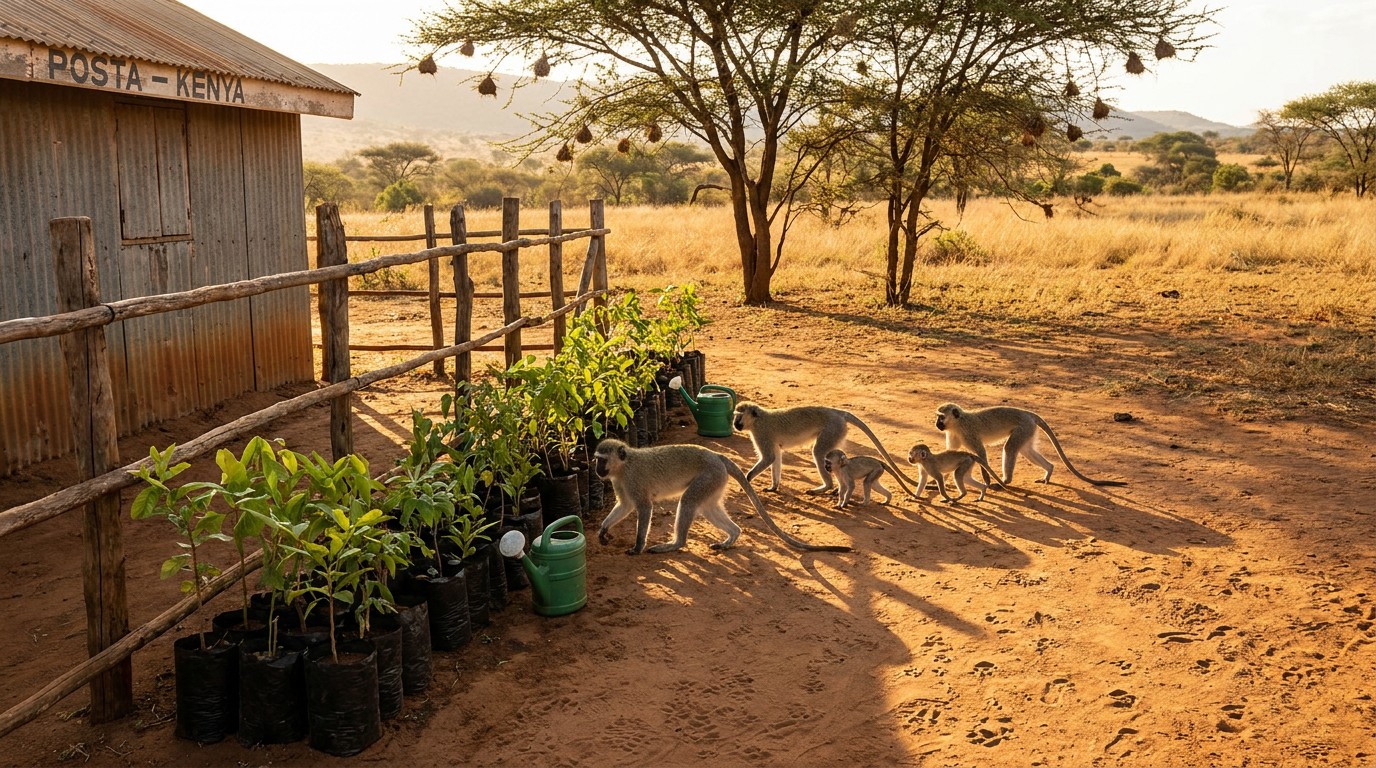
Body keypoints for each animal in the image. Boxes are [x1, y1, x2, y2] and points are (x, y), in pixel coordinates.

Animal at [592, 438, 851, 555]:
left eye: (601, 459)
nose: (596, 469)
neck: (624, 466)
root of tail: (716, 456)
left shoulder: (633, 480)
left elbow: (643, 507)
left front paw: (637, 547)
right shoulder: (619, 482)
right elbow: (625, 505)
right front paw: (603, 530)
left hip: (709, 476)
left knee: (688, 502)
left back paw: (676, 544)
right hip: (714, 481)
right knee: (708, 508)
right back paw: (731, 537)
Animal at [733, 403, 917, 497]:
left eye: (738, 415)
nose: (734, 423)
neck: (757, 419)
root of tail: (839, 413)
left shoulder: (761, 433)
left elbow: (769, 457)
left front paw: (746, 481)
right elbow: (776, 457)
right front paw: (774, 487)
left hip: (832, 429)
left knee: (819, 452)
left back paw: (825, 487)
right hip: (836, 432)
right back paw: (837, 488)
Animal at [934, 403, 1127, 487]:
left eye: (941, 417)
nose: (936, 424)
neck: (958, 423)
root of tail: (1028, 413)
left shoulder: (969, 433)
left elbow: (981, 454)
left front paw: (987, 481)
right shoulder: (952, 433)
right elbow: (950, 453)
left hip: (1024, 427)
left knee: (1010, 448)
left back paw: (1006, 481)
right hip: (1027, 430)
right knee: (1026, 450)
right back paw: (1049, 470)